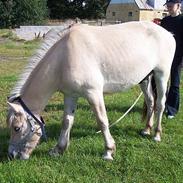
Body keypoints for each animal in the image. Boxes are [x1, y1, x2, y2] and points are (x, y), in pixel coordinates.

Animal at [6, 21, 175, 159]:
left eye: (17, 128)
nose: (12, 155)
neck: (64, 57)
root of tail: (168, 33)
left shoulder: (93, 94)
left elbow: (102, 121)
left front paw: (108, 151)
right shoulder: (70, 95)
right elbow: (66, 122)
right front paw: (58, 149)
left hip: (161, 74)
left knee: (160, 104)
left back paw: (156, 134)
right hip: (145, 79)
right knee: (150, 101)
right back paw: (147, 129)